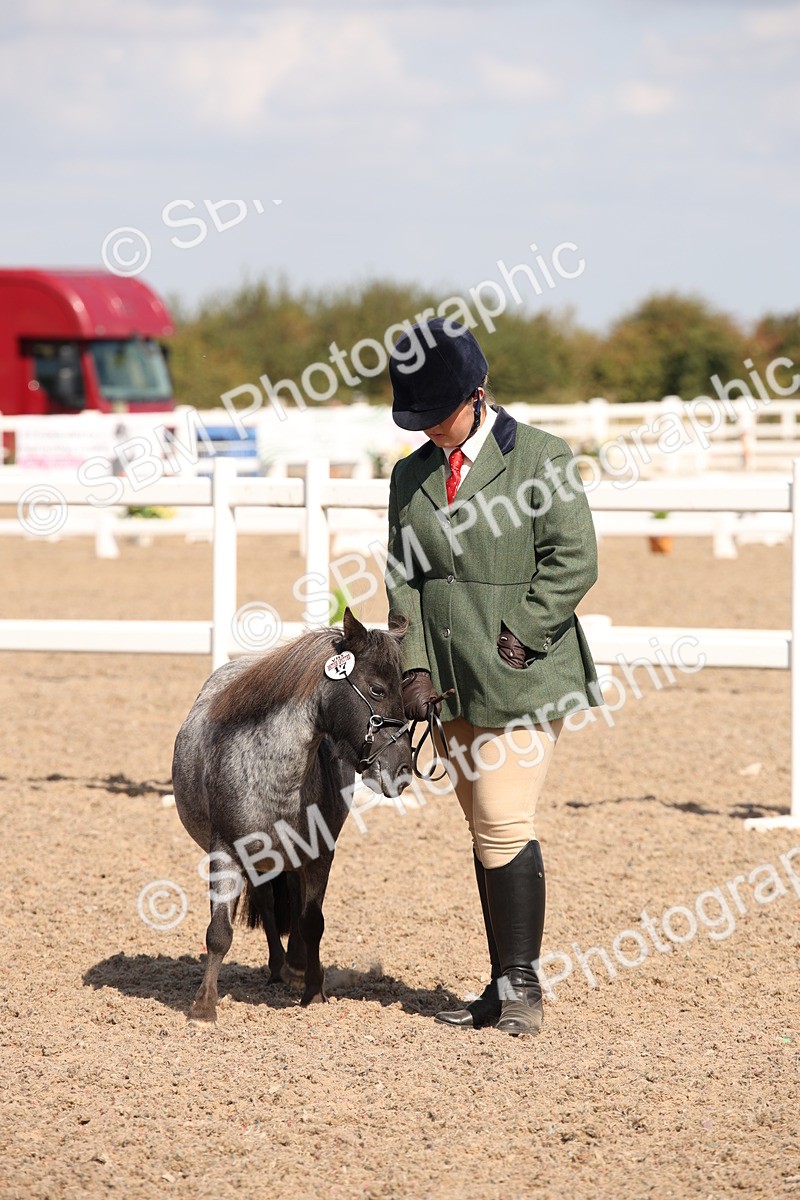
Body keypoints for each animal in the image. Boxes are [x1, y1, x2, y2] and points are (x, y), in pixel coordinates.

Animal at [171, 608, 412, 1021]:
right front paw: (203, 1005)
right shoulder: (227, 852)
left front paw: (313, 991)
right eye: (378, 689)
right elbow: (219, 931)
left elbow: (312, 922)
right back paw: (276, 967)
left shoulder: (319, 854)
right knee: (268, 905)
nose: (402, 770)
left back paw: (295, 968)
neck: (271, 774)